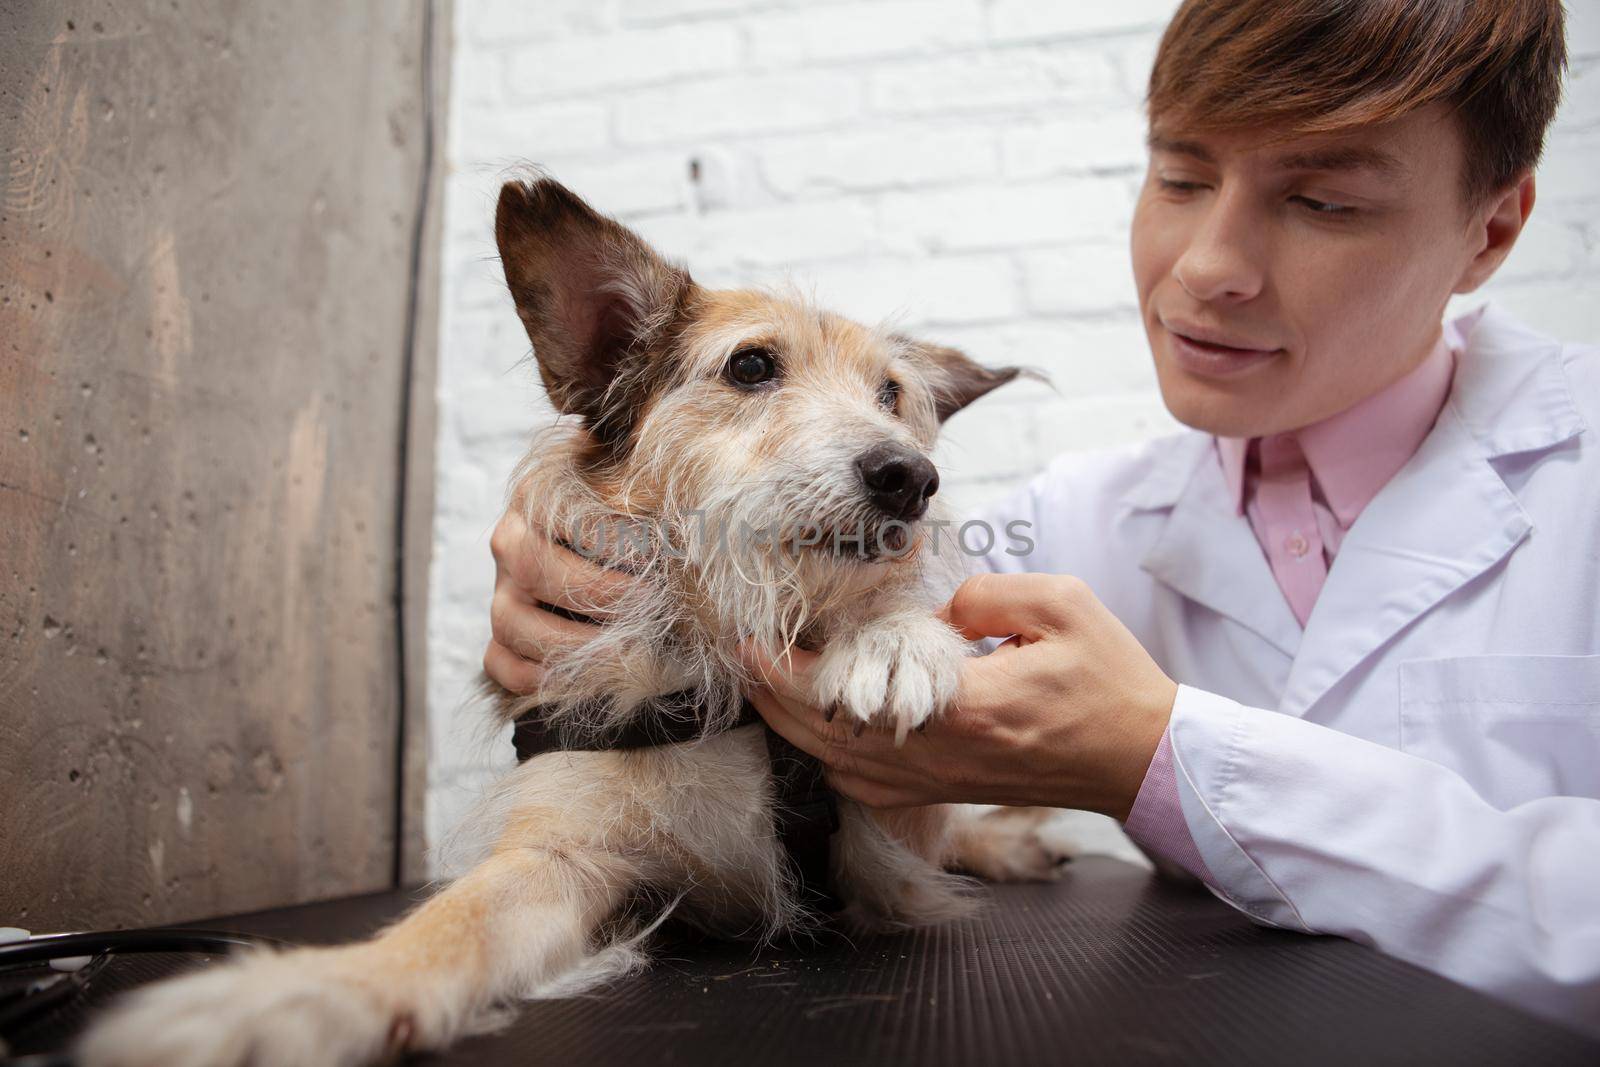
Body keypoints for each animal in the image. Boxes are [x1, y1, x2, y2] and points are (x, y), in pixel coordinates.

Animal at [81, 177, 1068, 1067]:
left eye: (893, 395)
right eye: (751, 366)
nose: (909, 477)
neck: (719, 634)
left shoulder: (891, 859)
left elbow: (907, 712)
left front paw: (891, 635)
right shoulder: (558, 854)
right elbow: (450, 924)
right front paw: (303, 993)